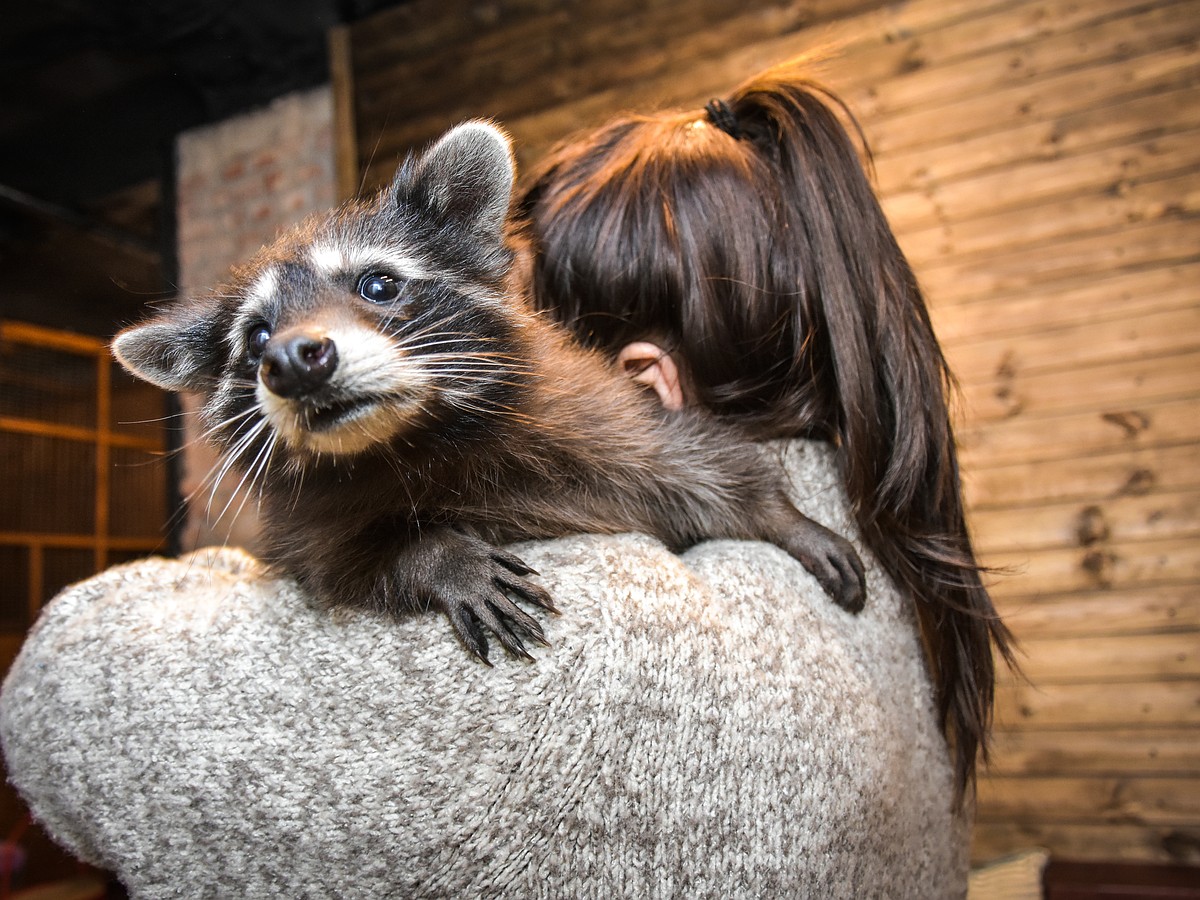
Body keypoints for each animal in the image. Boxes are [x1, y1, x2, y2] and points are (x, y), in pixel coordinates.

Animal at [112, 121, 864, 662]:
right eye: (257, 336)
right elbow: (347, 568)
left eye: (377, 284)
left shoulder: (607, 413)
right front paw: (439, 557)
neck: (412, 437)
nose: (292, 361)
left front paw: (780, 515)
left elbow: (699, 460)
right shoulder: (311, 529)